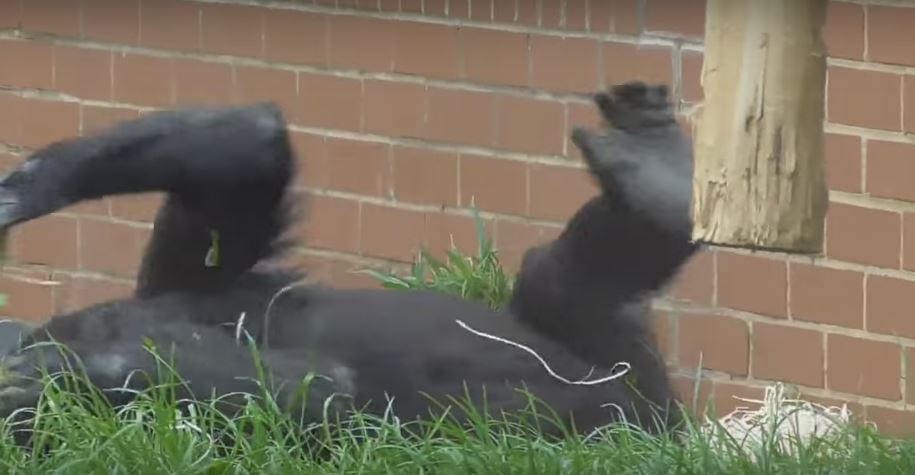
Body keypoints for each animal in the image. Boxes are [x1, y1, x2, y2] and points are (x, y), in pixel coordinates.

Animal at [0, 82, 696, 438]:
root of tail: (664, 427)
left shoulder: (177, 278)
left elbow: (248, 149)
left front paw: (27, 188)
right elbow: (320, 390)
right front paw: (82, 368)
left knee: (552, 283)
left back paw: (654, 169)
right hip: (624, 410)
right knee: (563, 289)